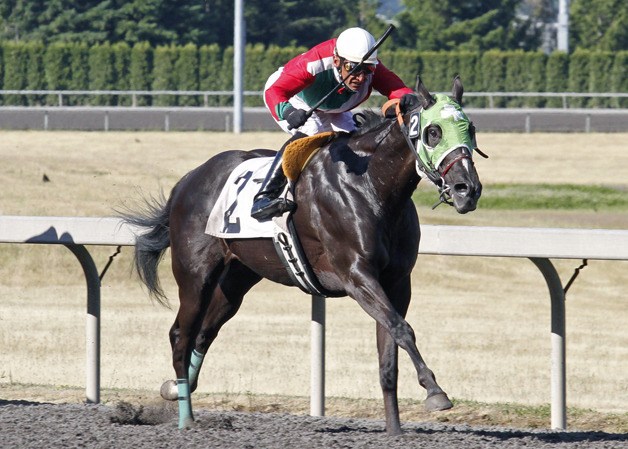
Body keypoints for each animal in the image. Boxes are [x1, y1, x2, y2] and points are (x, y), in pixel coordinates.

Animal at [124, 76, 486, 434]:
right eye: (433, 131)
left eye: (470, 128)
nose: (467, 189)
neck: (371, 184)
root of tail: (187, 180)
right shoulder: (356, 275)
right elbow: (402, 328)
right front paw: (436, 392)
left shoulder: (397, 282)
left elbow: (390, 350)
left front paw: (395, 430)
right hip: (195, 273)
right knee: (181, 335)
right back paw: (185, 416)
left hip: (239, 277)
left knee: (204, 332)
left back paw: (175, 389)